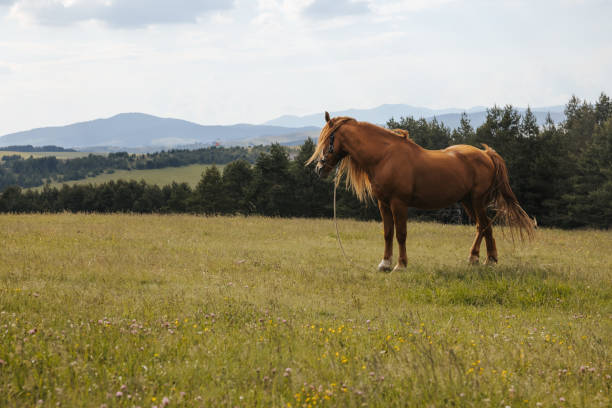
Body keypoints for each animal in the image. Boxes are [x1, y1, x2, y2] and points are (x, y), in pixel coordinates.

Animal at [308, 112, 532, 270]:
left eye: (328, 140)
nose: (319, 169)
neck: (384, 157)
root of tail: (486, 154)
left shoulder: (399, 203)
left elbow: (401, 233)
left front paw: (400, 264)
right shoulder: (384, 203)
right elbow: (388, 233)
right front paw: (385, 263)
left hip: (477, 201)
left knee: (485, 226)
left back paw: (489, 260)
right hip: (467, 201)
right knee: (481, 227)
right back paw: (476, 258)